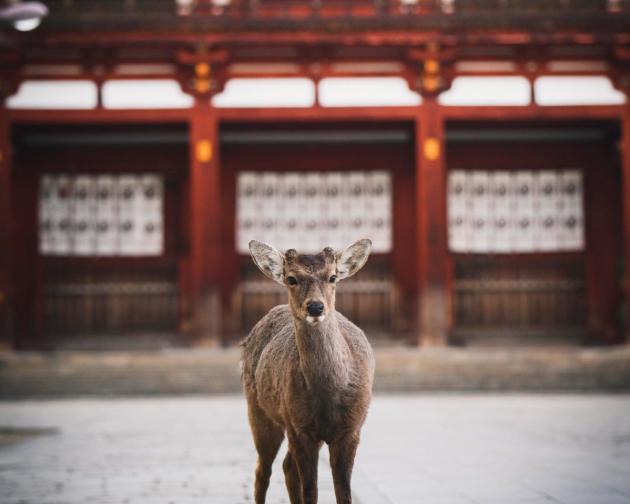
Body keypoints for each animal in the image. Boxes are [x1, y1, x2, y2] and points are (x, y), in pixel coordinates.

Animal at [242, 239, 376, 504]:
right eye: (291, 278)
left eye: (333, 277)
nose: (315, 307)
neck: (328, 394)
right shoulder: (300, 427)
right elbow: (311, 491)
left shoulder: (351, 428)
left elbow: (343, 492)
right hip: (259, 410)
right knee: (263, 470)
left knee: (286, 467)